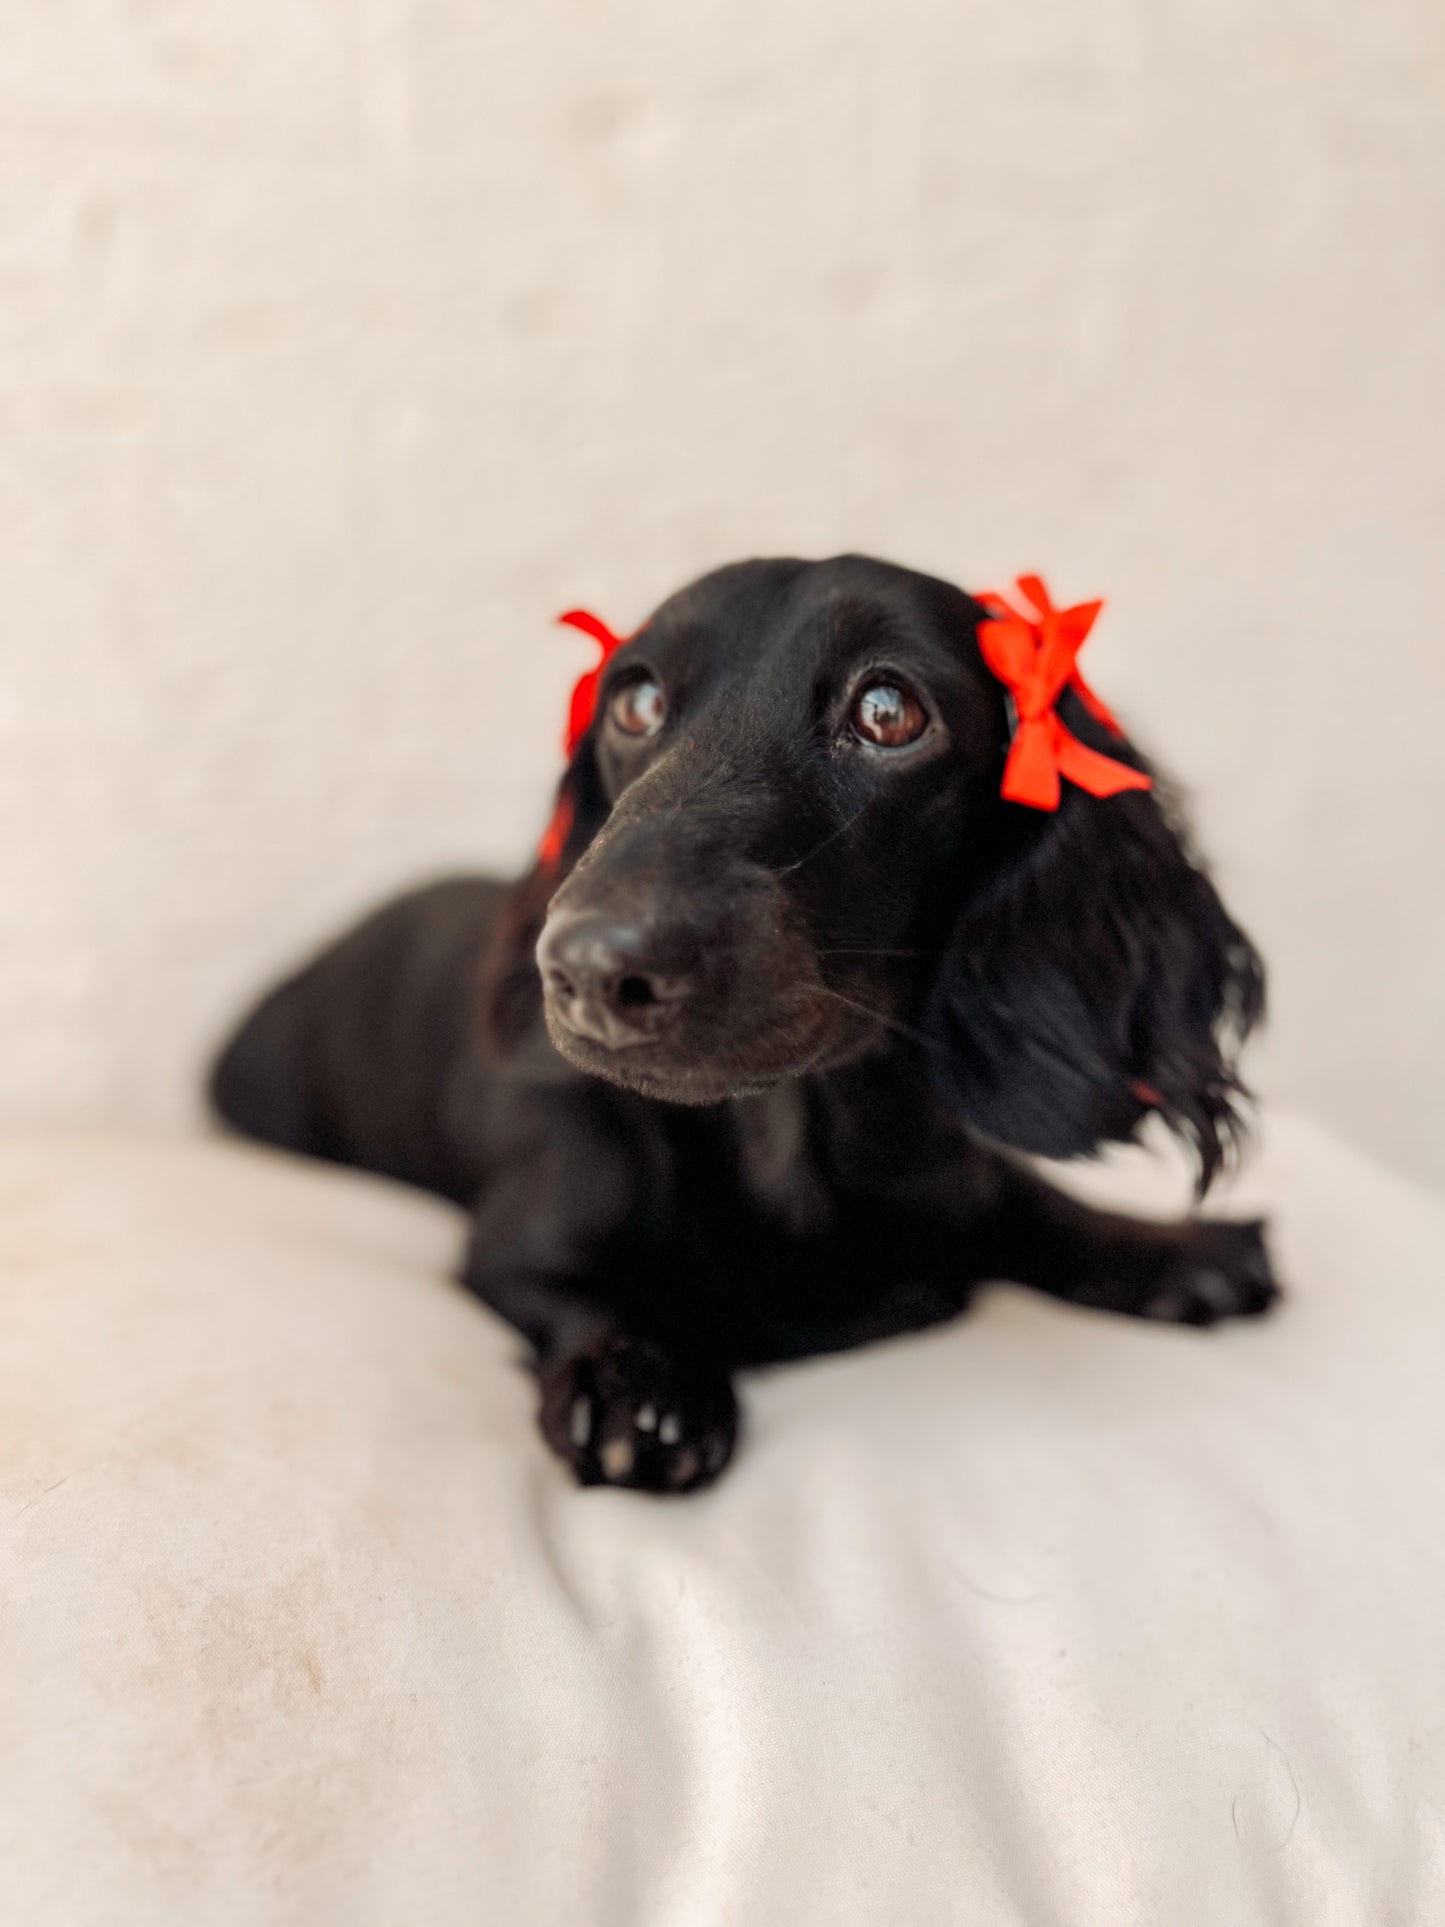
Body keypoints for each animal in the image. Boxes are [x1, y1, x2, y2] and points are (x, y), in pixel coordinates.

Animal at [211, 554, 1279, 1487]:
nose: (589, 970)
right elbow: (585, 1298)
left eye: (887, 711)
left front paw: (1176, 1249)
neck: (788, 1149)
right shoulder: (515, 1244)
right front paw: (638, 1384)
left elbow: (1025, 1201)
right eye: (635, 700)